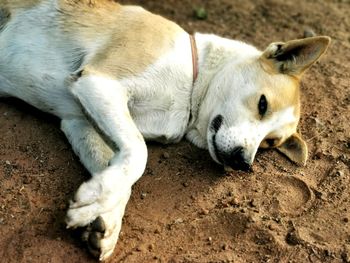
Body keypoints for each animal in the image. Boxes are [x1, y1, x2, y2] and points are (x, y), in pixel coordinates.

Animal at [0, 0, 330, 260]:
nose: (243, 163)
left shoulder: (78, 121)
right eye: (263, 104)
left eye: (270, 144)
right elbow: (139, 154)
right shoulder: (98, 83)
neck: (191, 85)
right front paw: (99, 204)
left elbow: (118, 169)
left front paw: (102, 215)